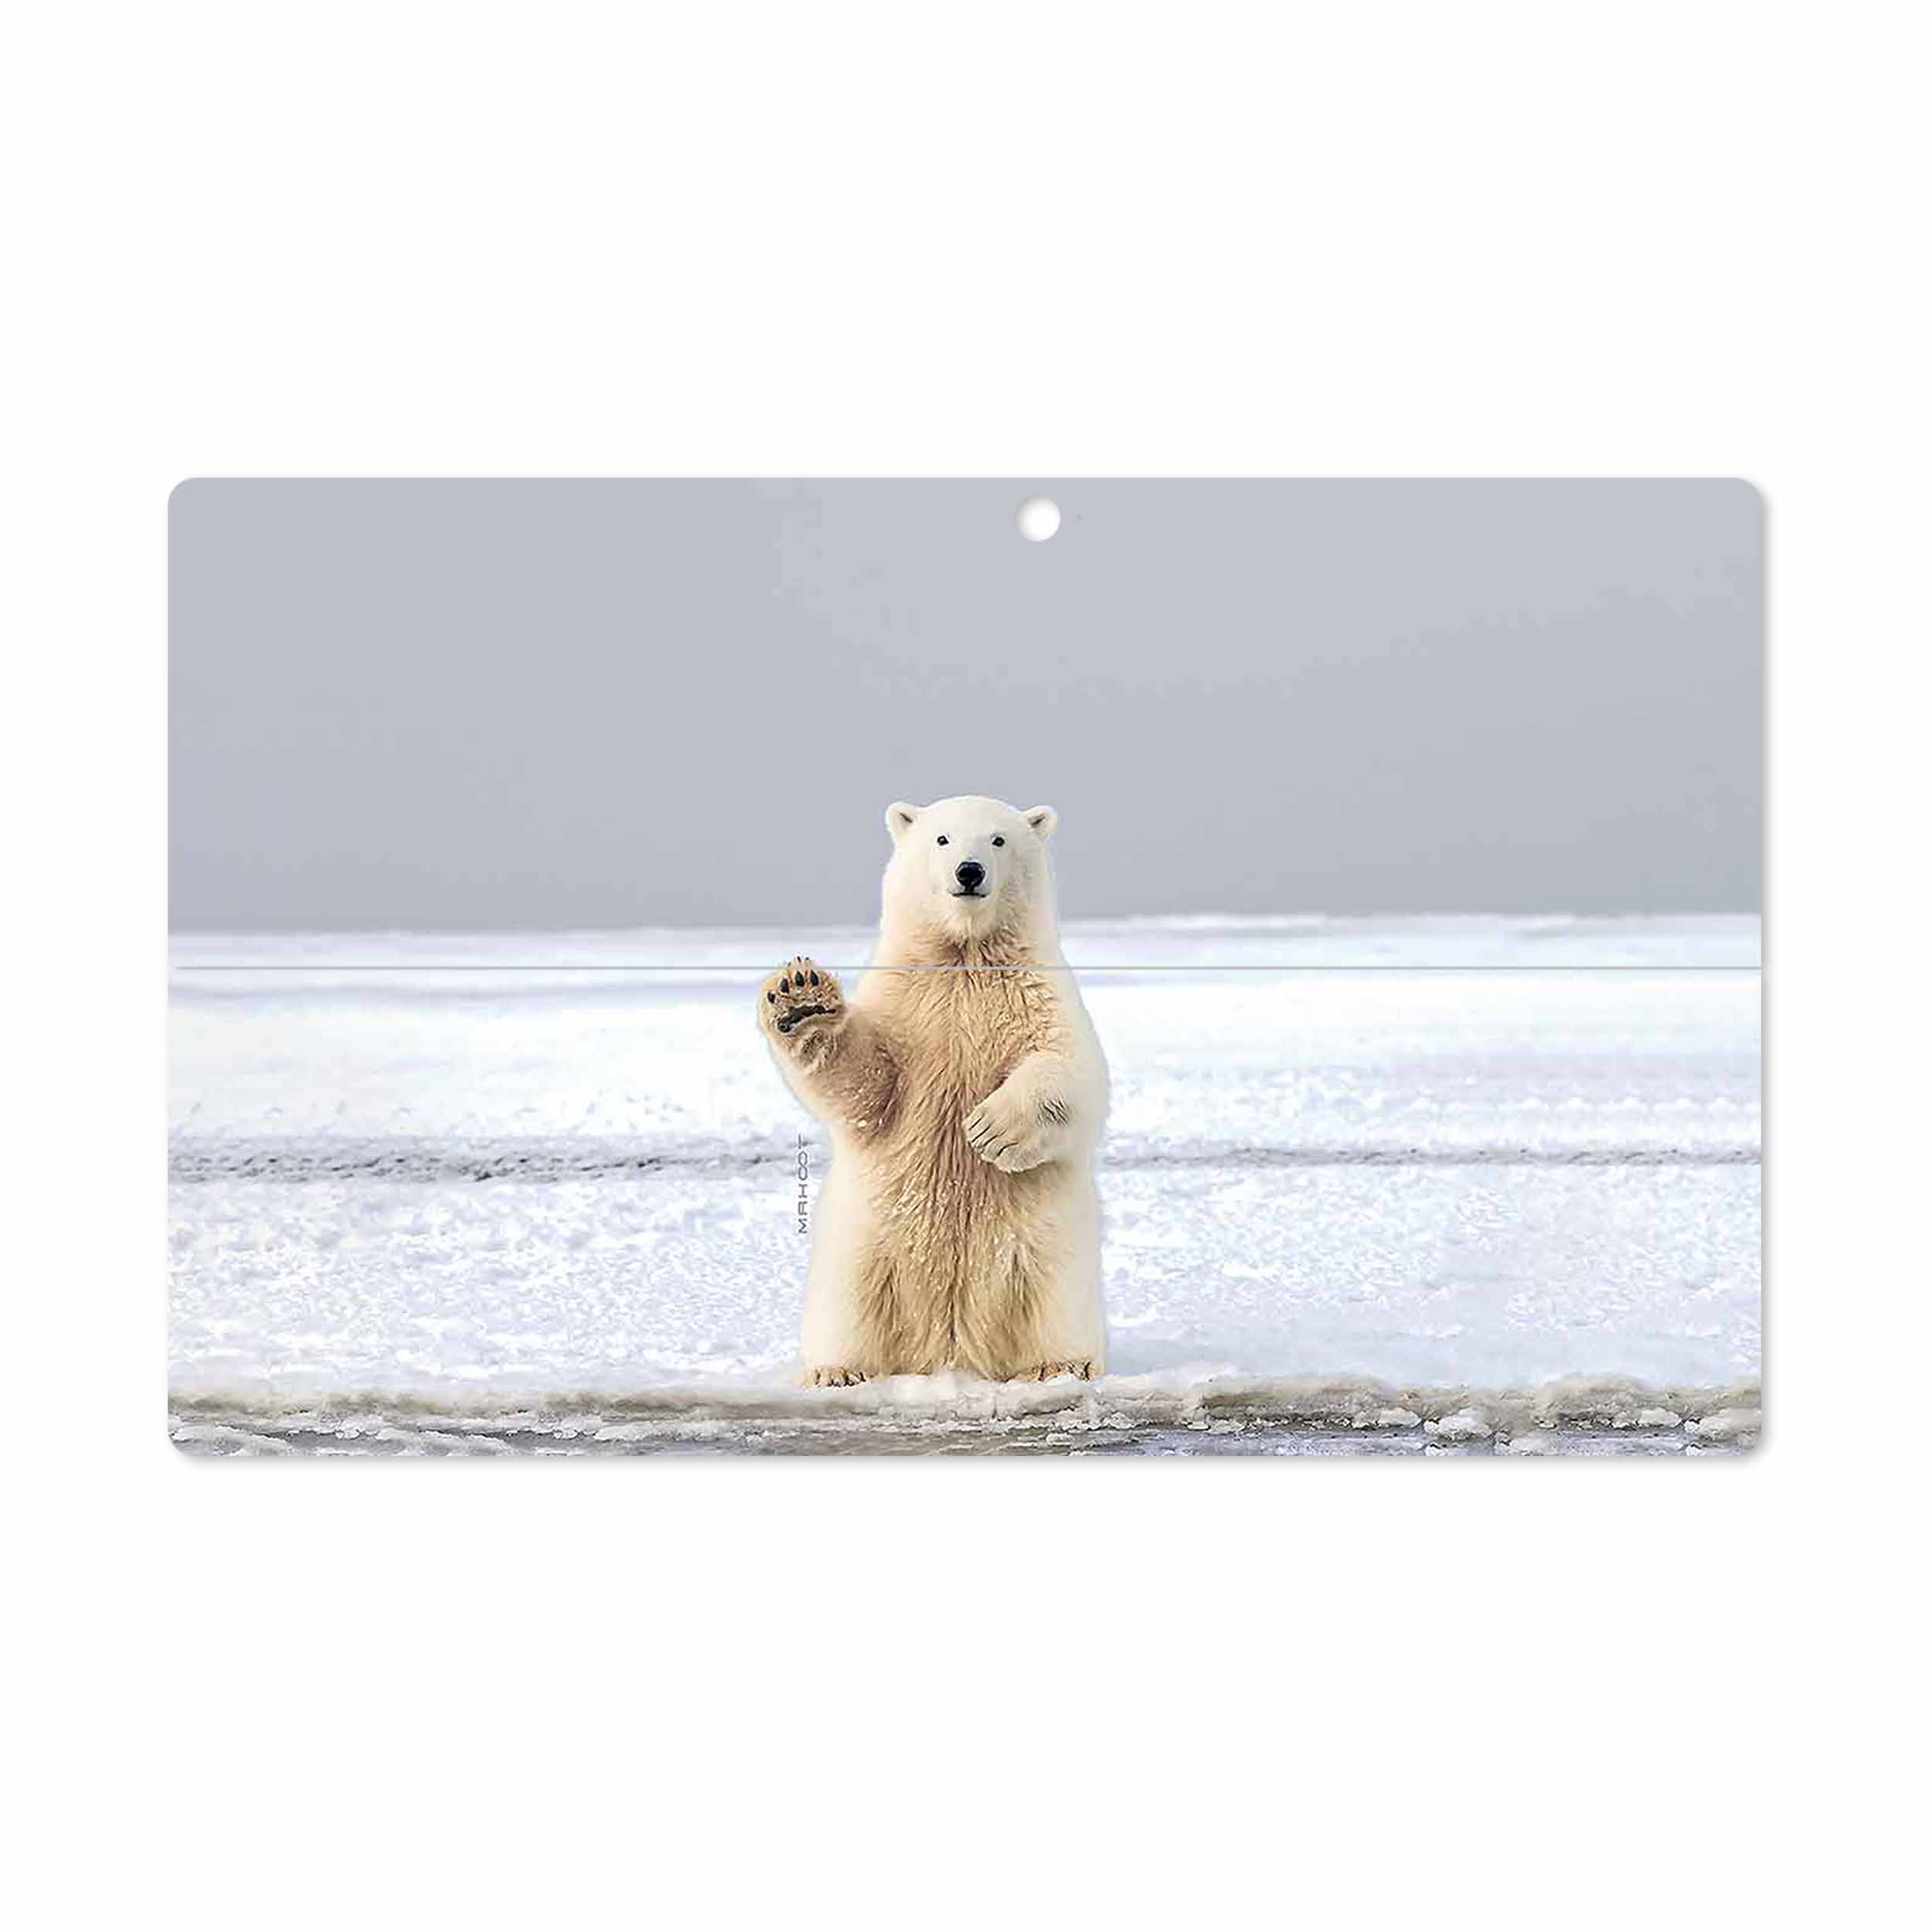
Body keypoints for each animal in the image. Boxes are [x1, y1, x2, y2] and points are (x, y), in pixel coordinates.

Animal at [758, 795, 1109, 1386]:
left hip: (1049, 1249)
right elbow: (867, 1085)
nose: (969, 872)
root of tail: (950, 1350)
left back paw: (1061, 1365)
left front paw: (990, 1129)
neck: (964, 955)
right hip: (862, 1247)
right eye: (942, 839)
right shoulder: (906, 1005)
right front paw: (800, 999)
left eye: (998, 839)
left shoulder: (1040, 995)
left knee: (1055, 1299)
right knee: (848, 1306)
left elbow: (1074, 1071)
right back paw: (837, 1371)